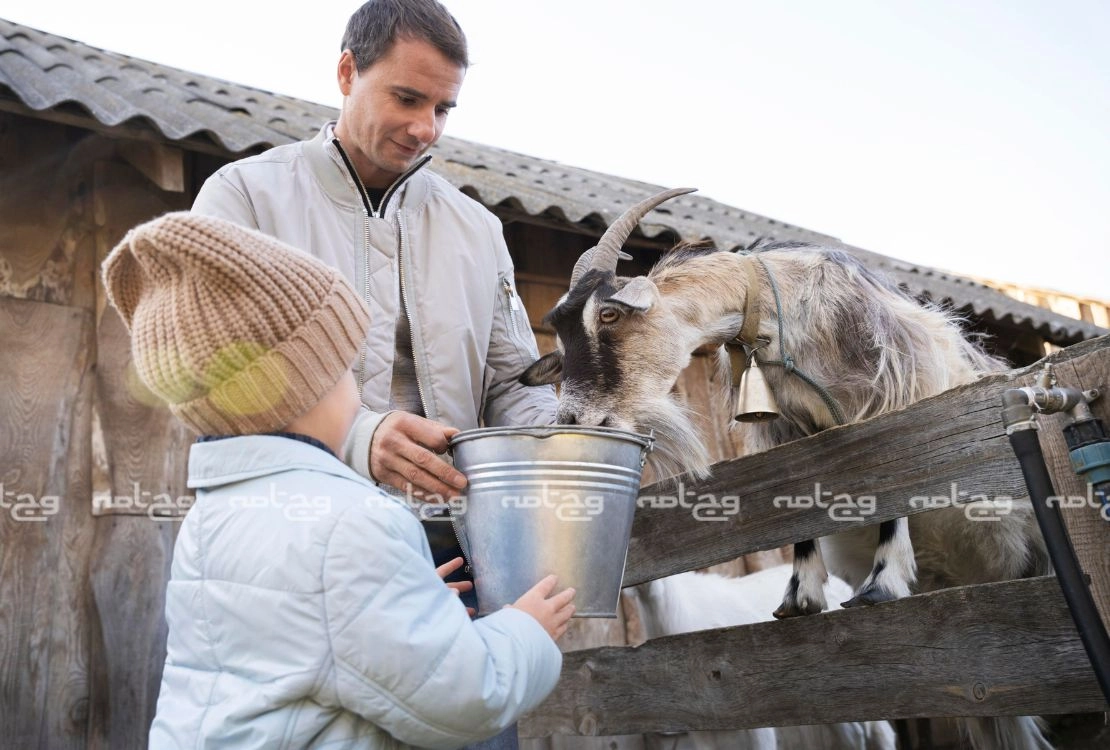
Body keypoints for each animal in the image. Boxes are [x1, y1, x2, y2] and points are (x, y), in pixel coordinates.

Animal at [521, 188, 1056, 750]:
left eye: (608, 315)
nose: (572, 421)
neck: (777, 309)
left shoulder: (890, 396)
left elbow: (892, 491)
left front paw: (880, 585)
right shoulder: (787, 430)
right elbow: (797, 506)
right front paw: (800, 596)